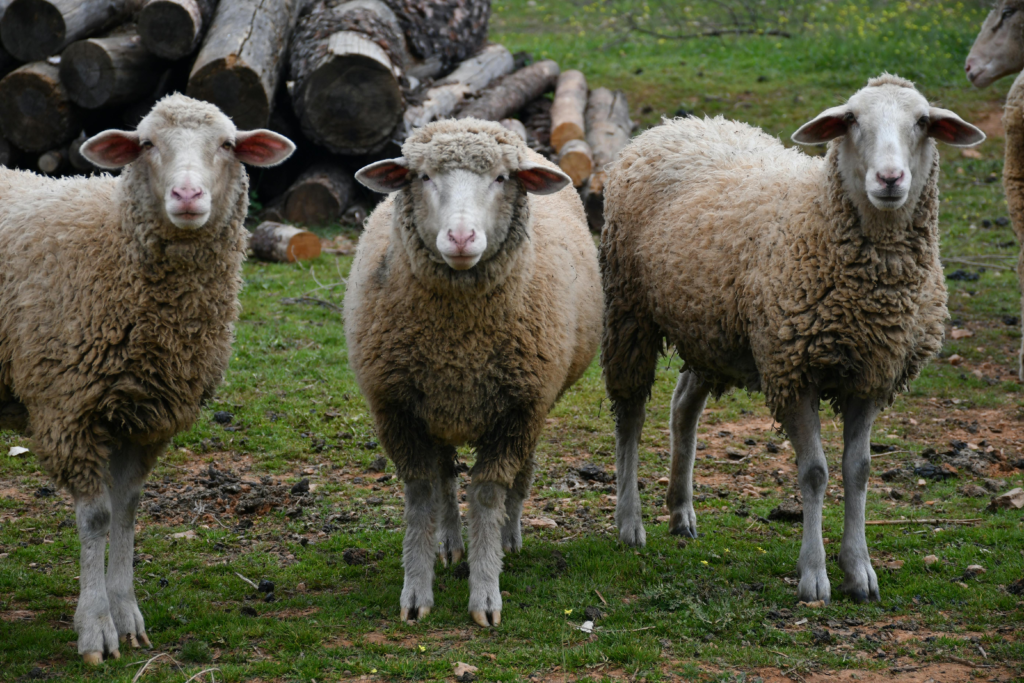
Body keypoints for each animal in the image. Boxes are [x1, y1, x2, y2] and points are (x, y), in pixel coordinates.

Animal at [0, 94, 294, 664]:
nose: (187, 195)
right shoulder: (68, 409)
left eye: (228, 144)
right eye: (148, 143)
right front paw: (95, 627)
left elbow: (128, 511)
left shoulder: (143, 417)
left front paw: (127, 615)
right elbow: (95, 518)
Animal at [346, 118, 601, 627]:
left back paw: (508, 537)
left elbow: (486, 496)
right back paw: (448, 544)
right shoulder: (397, 410)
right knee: (445, 478)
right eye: (423, 176)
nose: (461, 238)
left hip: (534, 404)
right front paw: (416, 591)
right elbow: (423, 492)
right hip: (439, 409)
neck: (460, 345)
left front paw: (486, 592)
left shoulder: (519, 411)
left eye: (502, 178)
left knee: (520, 475)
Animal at [600, 75, 984, 604]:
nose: (889, 179)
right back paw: (629, 522)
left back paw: (680, 511)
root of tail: (676, 124)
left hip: (710, 327)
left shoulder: (872, 375)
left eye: (923, 121)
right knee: (631, 415)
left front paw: (860, 570)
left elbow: (859, 469)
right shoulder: (793, 369)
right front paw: (814, 575)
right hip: (629, 311)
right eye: (851, 120)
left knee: (683, 406)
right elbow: (815, 472)